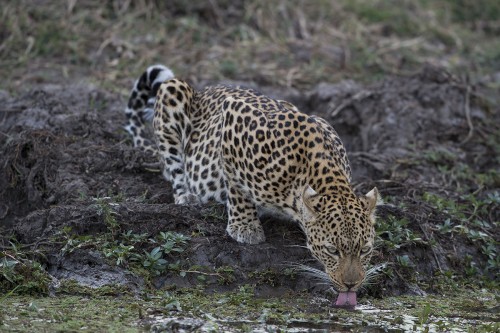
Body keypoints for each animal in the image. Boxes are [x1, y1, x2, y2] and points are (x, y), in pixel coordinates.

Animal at [123, 64, 380, 304]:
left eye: (365, 250)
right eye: (332, 250)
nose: (351, 285)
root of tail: (206, 90)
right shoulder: (232, 122)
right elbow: (237, 187)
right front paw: (245, 226)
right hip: (172, 91)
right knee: (174, 169)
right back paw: (187, 197)